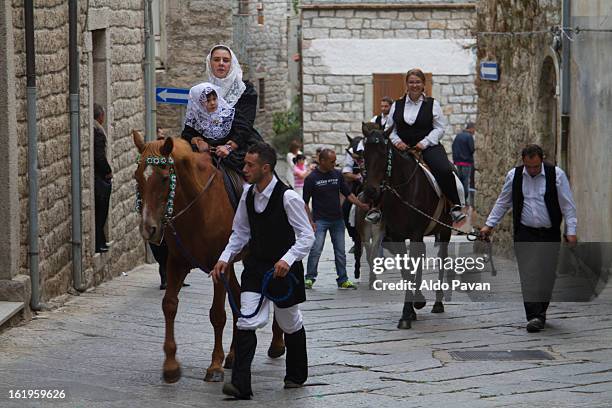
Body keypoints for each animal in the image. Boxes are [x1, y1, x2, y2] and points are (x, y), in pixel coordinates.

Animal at [131, 132, 284, 384]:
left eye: (164, 178)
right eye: (137, 176)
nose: (148, 229)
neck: (198, 206)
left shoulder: (218, 265)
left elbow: (217, 314)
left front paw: (214, 366)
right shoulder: (177, 263)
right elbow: (169, 305)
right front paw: (171, 365)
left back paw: (277, 344)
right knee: (238, 297)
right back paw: (234, 355)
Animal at [360, 123, 452, 328]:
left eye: (384, 153)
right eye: (365, 154)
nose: (371, 191)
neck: (404, 190)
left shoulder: (416, 233)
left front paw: (409, 311)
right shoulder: (397, 236)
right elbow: (406, 270)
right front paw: (409, 311)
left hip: (445, 230)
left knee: (442, 259)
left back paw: (438, 303)